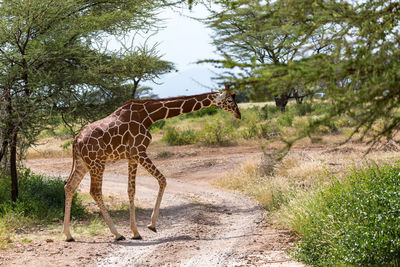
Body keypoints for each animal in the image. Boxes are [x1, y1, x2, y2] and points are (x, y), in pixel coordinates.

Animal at [62, 90, 241, 243]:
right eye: (229, 101)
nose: (238, 115)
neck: (149, 115)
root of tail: (76, 140)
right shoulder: (139, 151)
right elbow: (162, 180)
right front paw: (151, 225)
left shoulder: (132, 156)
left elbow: (131, 190)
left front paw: (136, 232)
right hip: (97, 162)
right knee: (95, 191)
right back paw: (117, 234)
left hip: (83, 163)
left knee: (69, 186)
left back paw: (69, 235)